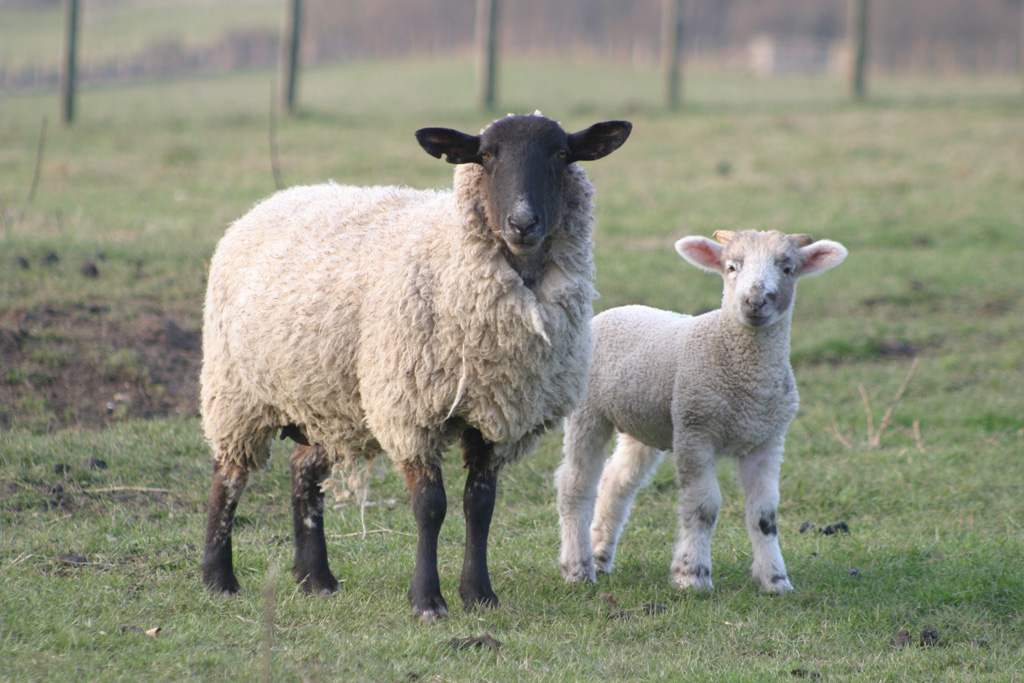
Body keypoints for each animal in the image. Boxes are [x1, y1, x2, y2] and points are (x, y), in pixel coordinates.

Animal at [199, 113, 630, 626]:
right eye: (486, 155)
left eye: (562, 155)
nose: (523, 223)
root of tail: (271, 201)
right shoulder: (412, 412)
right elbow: (430, 507)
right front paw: (427, 601)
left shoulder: (497, 415)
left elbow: (479, 506)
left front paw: (479, 595)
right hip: (237, 391)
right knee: (228, 478)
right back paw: (219, 579)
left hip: (330, 401)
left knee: (303, 473)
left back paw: (316, 579)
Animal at [557, 229, 843, 593]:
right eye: (732, 266)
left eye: (788, 269)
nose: (755, 302)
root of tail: (612, 312)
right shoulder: (695, 431)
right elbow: (703, 507)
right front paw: (692, 575)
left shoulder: (767, 440)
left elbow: (764, 514)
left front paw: (775, 579)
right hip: (587, 412)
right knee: (575, 484)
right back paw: (577, 568)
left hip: (645, 423)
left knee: (616, 482)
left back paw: (600, 555)